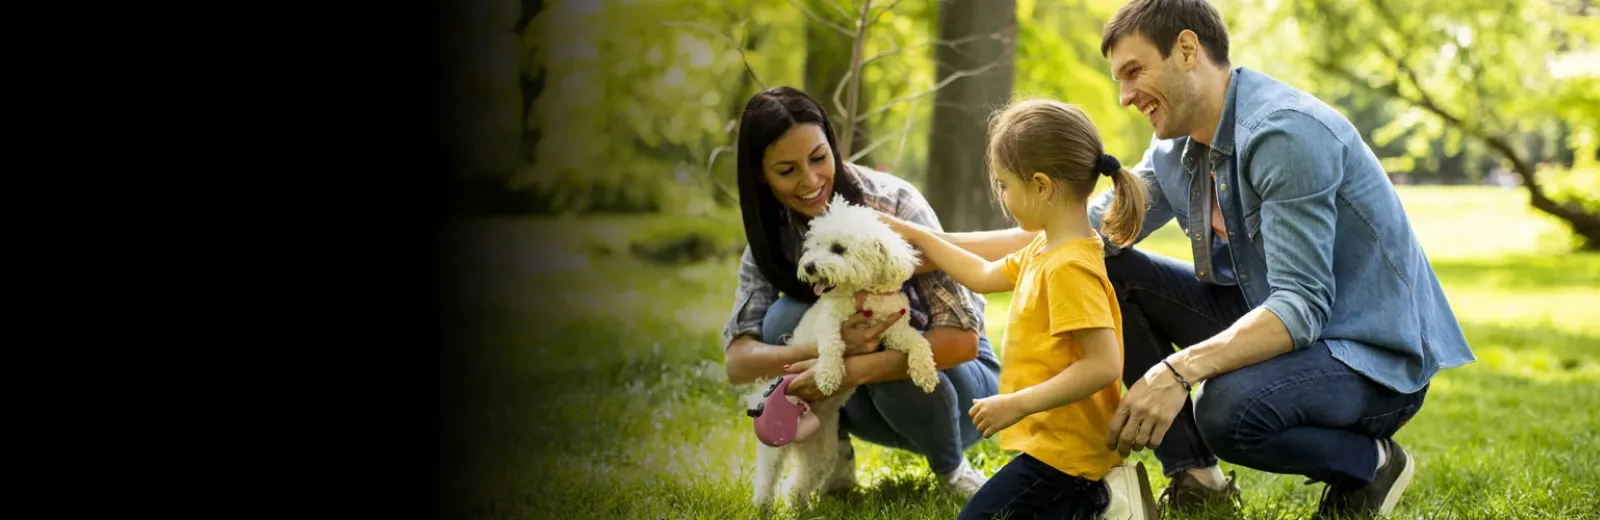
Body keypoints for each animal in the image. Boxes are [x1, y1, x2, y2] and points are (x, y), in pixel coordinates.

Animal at [752, 193, 940, 508]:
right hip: (775, 444)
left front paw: (925, 373)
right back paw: (761, 507)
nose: (809, 266)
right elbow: (831, 346)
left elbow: (919, 342)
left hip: (820, 451)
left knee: (797, 485)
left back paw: (797, 509)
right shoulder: (828, 324)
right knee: (767, 479)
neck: (862, 294)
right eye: (814, 244)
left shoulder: (895, 330)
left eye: (838, 248)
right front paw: (828, 376)